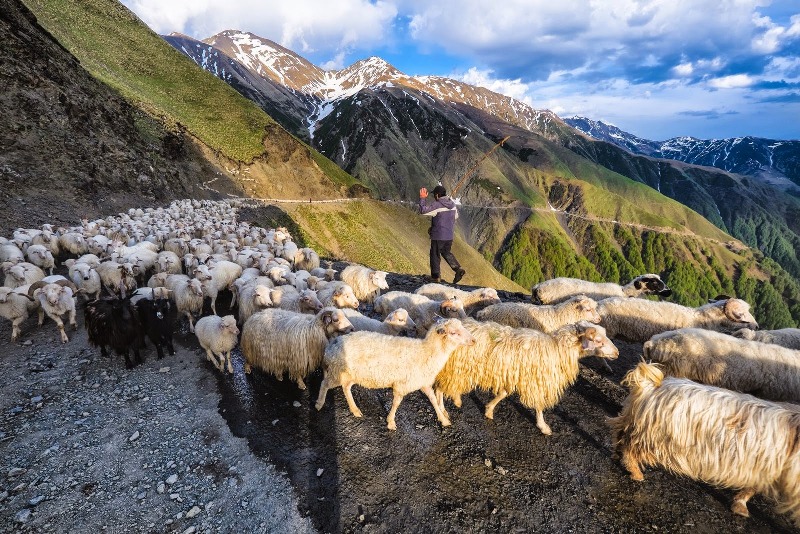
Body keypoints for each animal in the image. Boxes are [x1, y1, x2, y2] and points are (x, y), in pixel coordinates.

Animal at [314, 318, 476, 432]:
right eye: (454, 333)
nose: (474, 340)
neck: (426, 352)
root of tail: (332, 343)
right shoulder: (401, 385)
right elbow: (396, 403)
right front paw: (391, 422)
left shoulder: (421, 382)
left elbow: (433, 400)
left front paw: (444, 420)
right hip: (338, 371)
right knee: (325, 384)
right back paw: (319, 404)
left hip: (350, 374)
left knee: (346, 388)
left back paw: (355, 410)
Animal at [434, 320, 616, 438]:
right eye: (598, 340)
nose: (617, 353)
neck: (557, 349)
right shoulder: (536, 381)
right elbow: (539, 405)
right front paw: (543, 426)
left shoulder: (513, 375)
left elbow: (503, 393)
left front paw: (489, 410)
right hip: (455, 368)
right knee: (440, 388)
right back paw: (446, 410)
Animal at [608, 362, 800, 524]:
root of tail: (650, 386)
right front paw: (741, 506)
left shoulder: (763, 467)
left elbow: (752, 487)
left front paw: (739, 505)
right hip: (653, 437)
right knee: (631, 448)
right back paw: (635, 472)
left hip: (635, 423)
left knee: (620, 435)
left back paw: (618, 456)